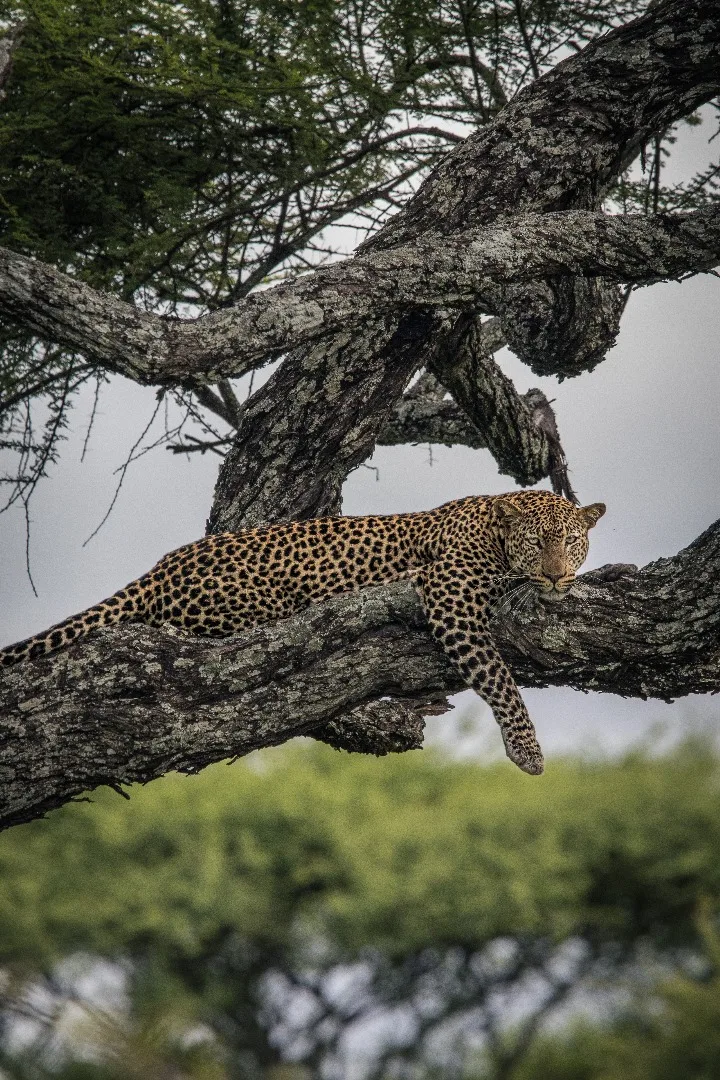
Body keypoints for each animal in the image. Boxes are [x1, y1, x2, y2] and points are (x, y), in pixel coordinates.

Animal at [0, 489, 605, 774]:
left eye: (573, 542)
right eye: (537, 542)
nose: (557, 574)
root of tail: (159, 569)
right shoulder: (449, 596)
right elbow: (500, 679)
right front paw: (527, 751)